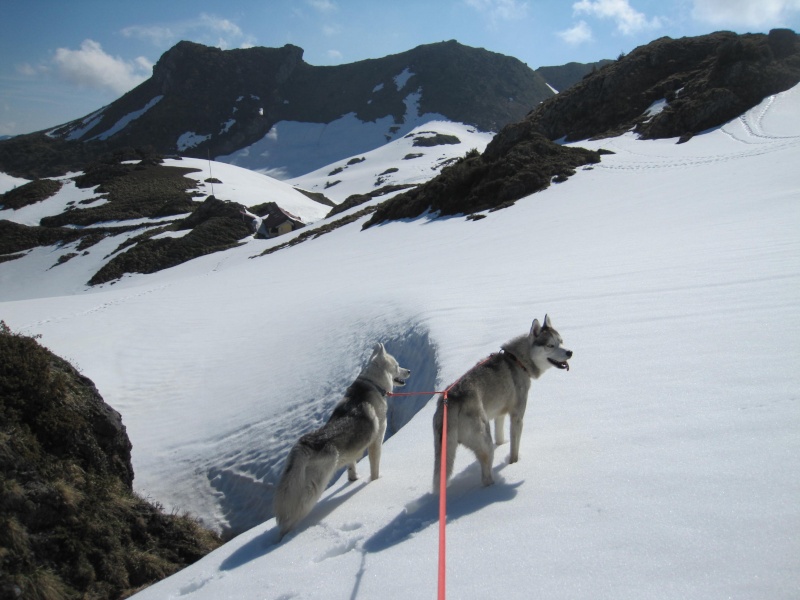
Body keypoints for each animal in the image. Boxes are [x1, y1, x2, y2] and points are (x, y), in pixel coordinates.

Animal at [276, 342, 412, 540]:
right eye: (397, 365)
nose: (409, 371)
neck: (373, 385)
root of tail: (303, 446)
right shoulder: (376, 442)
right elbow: (375, 469)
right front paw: (375, 482)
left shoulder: (352, 452)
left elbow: (351, 466)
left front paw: (353, 479)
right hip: (313, 488)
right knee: (291, 518)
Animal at [434, 316, 572, 490]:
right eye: (550, 345)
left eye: (561, 341)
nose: (570, 352)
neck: (517, 360)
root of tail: (452, 399)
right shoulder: (517, 417)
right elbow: (515, 447)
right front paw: (514, 463)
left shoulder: (499, 414)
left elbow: (500, 436)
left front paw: (502, 444)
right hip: (484, 443)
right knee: (486, 475)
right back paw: (493, 488)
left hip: (442, 451)